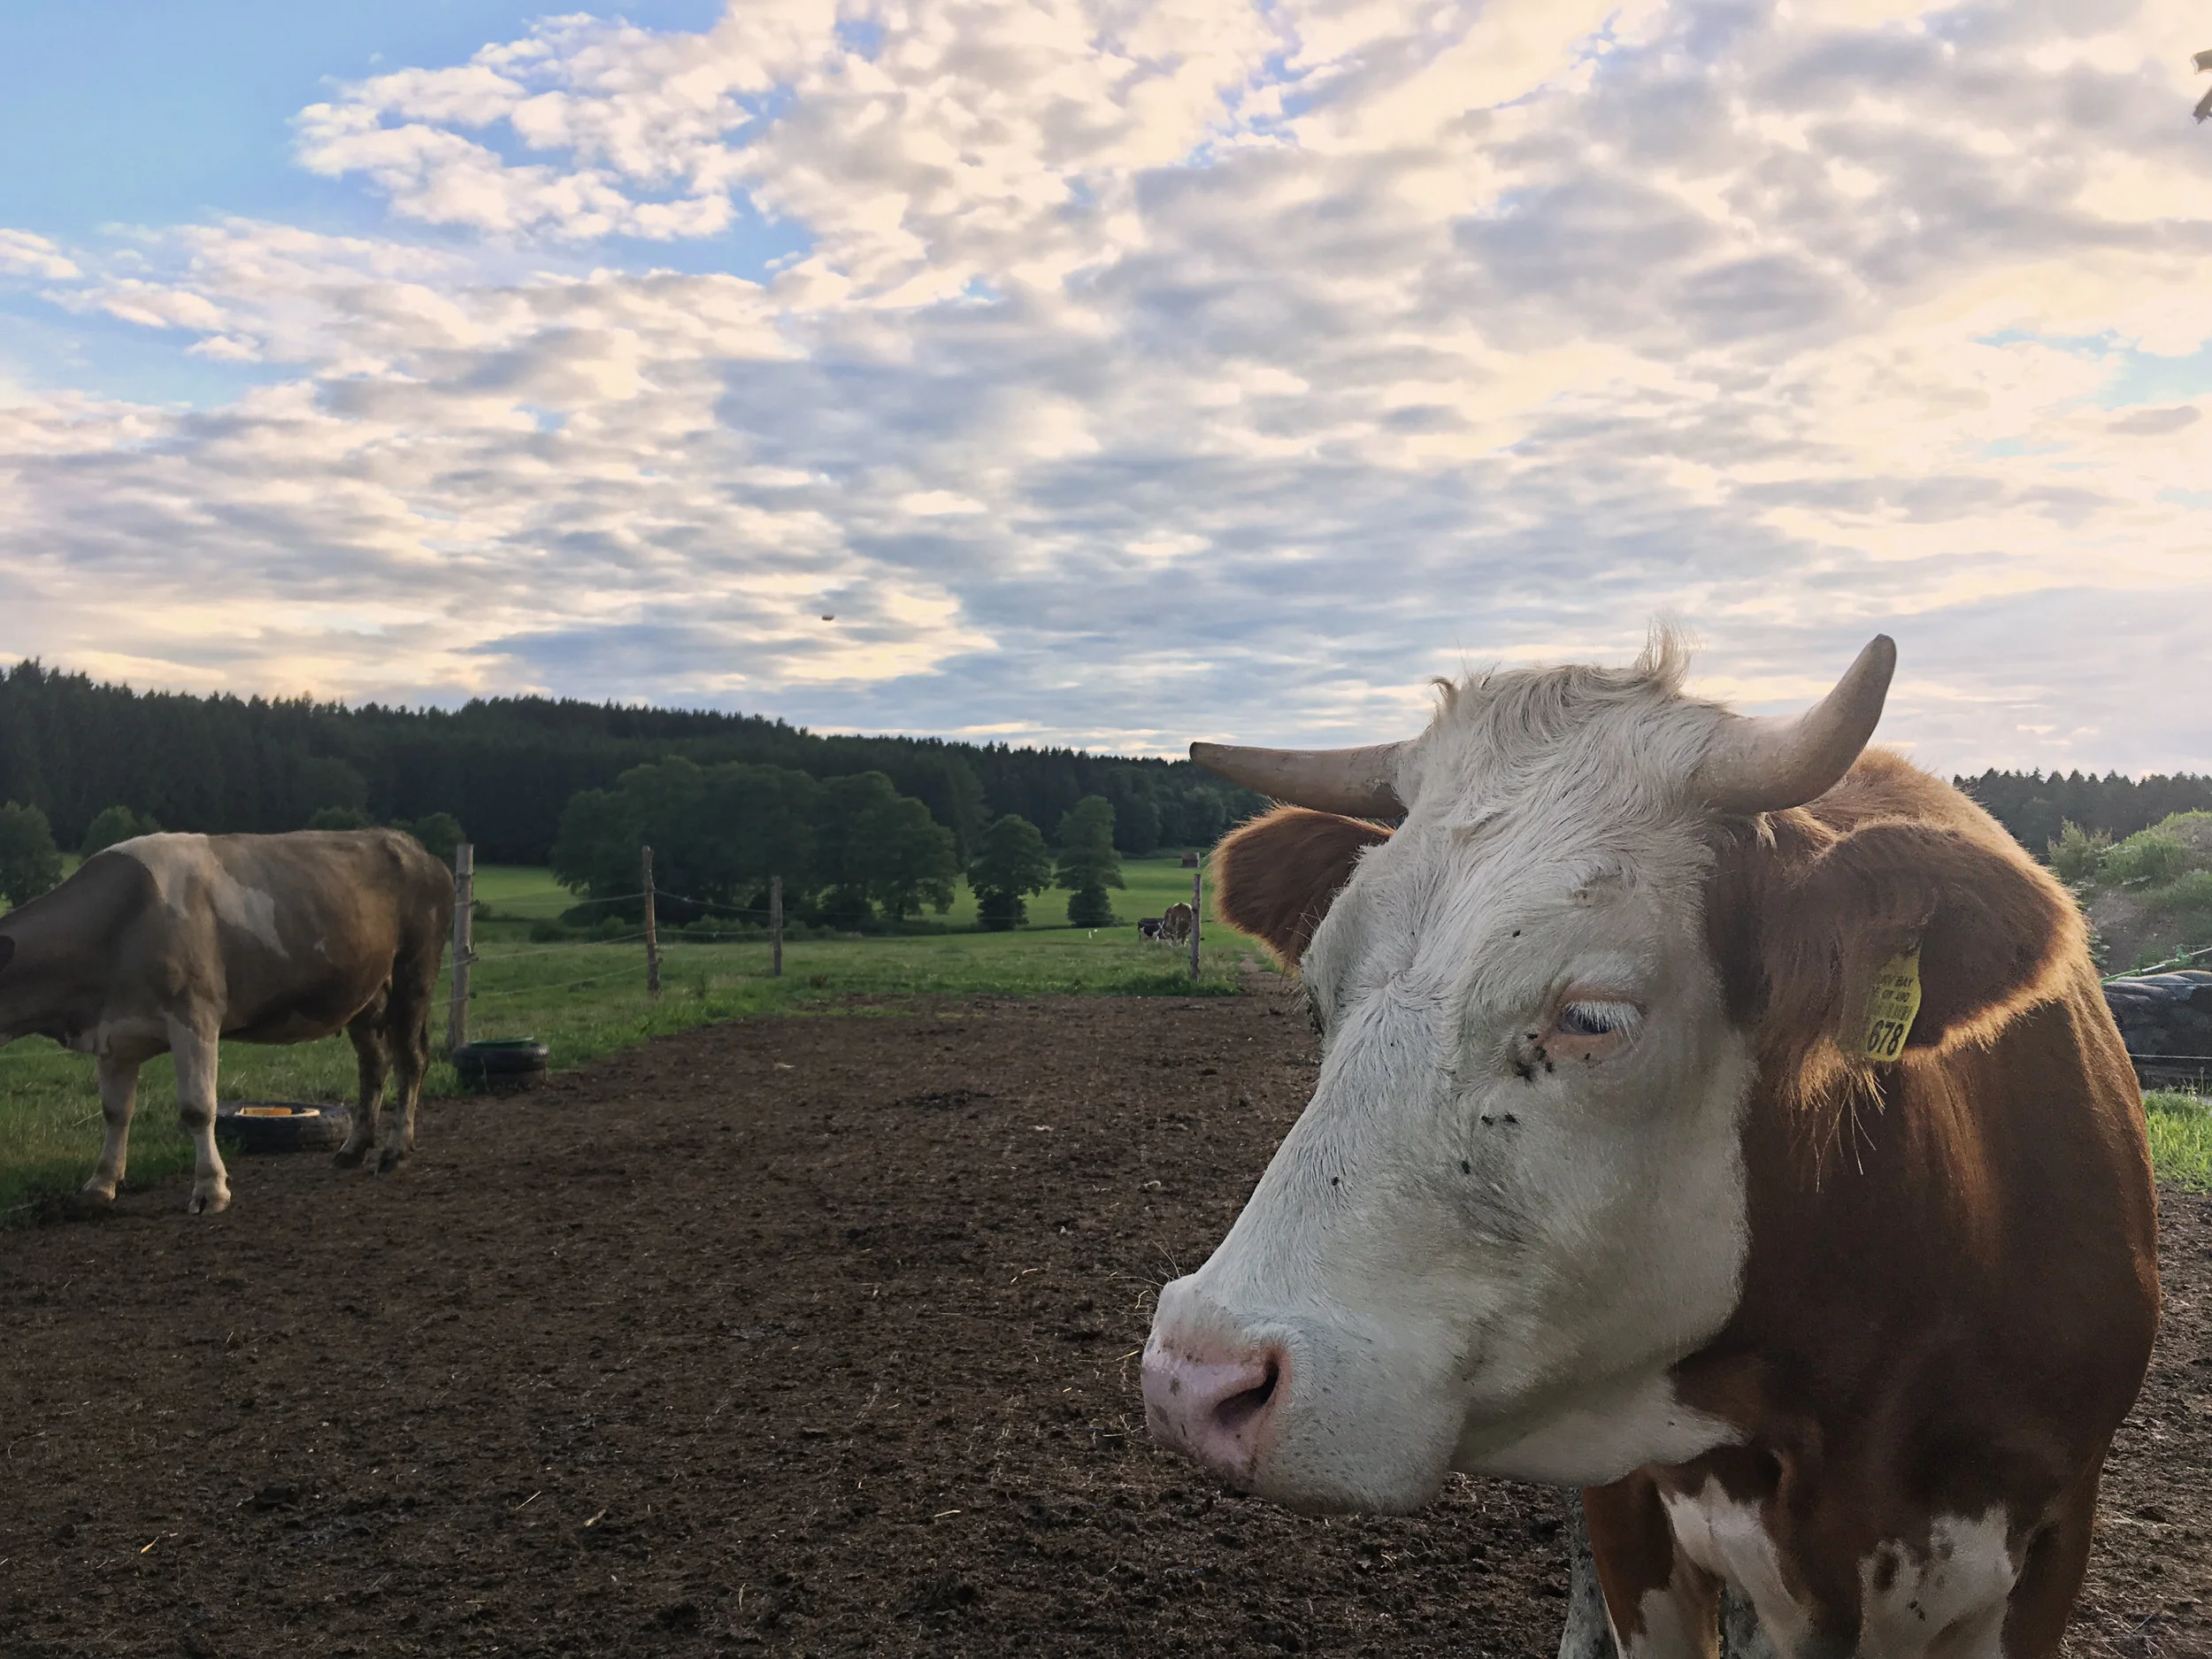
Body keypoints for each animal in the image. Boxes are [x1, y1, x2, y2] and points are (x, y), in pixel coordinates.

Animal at [0, 830, 454, 1214]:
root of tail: (414, 846)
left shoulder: (195, 1017)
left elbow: (198, 1108)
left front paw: (210, 1189)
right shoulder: (113, 1035)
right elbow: (115, 1112)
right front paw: (101, 1184)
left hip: (415, 974)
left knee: (411, 1061)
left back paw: (395, 1151)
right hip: (364, 994)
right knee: (374, 1065)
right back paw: (353, 1149)